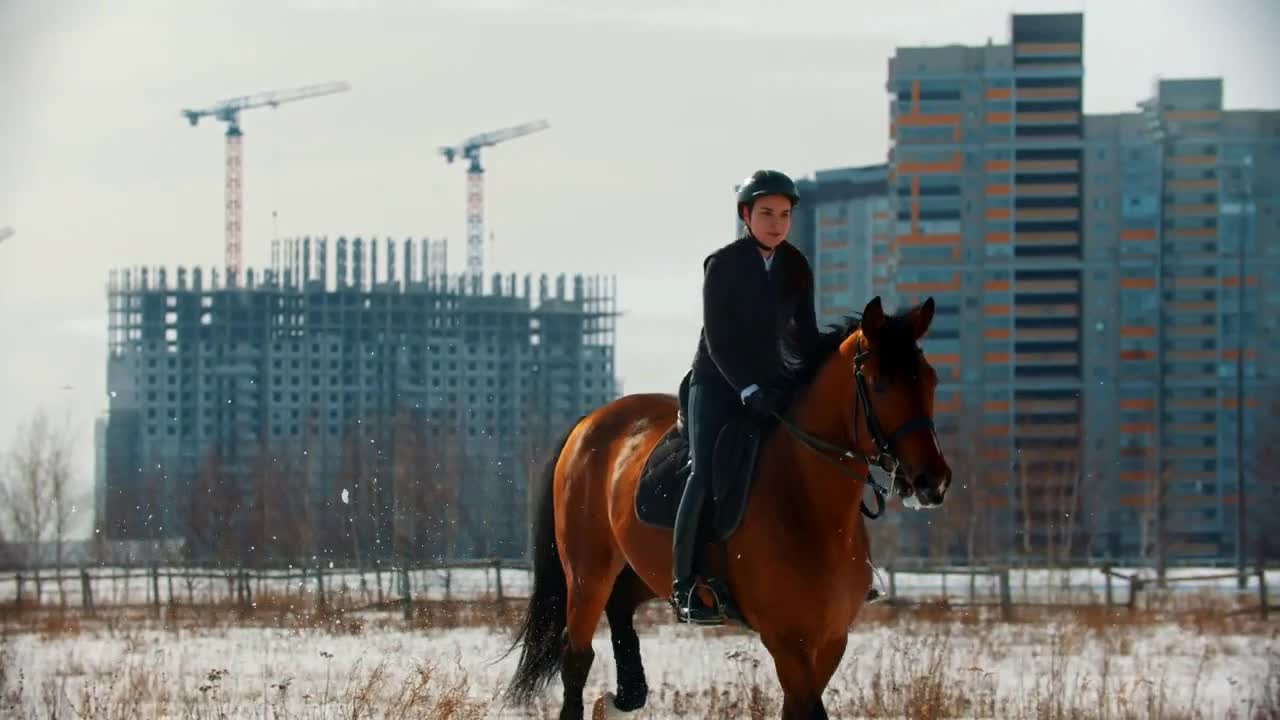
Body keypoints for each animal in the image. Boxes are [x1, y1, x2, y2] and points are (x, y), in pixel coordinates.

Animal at [499, 294, 952, 712]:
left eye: (930, 379)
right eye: (879, 383)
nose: (932, 481)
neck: (809, 506)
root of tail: (588, 422)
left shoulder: (829, 641)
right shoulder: (788, 643)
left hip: (641, 573)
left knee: (620, 612)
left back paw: (621, 697)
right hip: (586, 576)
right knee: (576, 660)